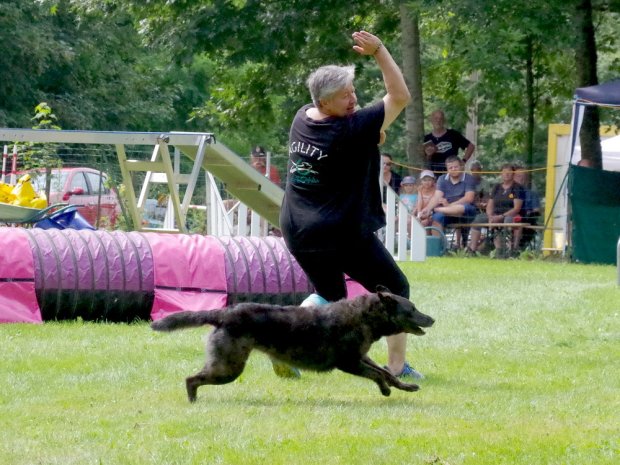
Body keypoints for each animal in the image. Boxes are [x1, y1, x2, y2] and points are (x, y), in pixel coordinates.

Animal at [151, 284, 434, 400]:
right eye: (412, 309)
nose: (432, 318)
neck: (364, 316)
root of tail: (223, 314)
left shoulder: (361, 357)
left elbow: (387, 373)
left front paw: (404, 386)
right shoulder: (349, 363)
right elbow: (377, 375)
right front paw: (385, 391)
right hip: (228, 368)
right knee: (191, 379)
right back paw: (192, 401)